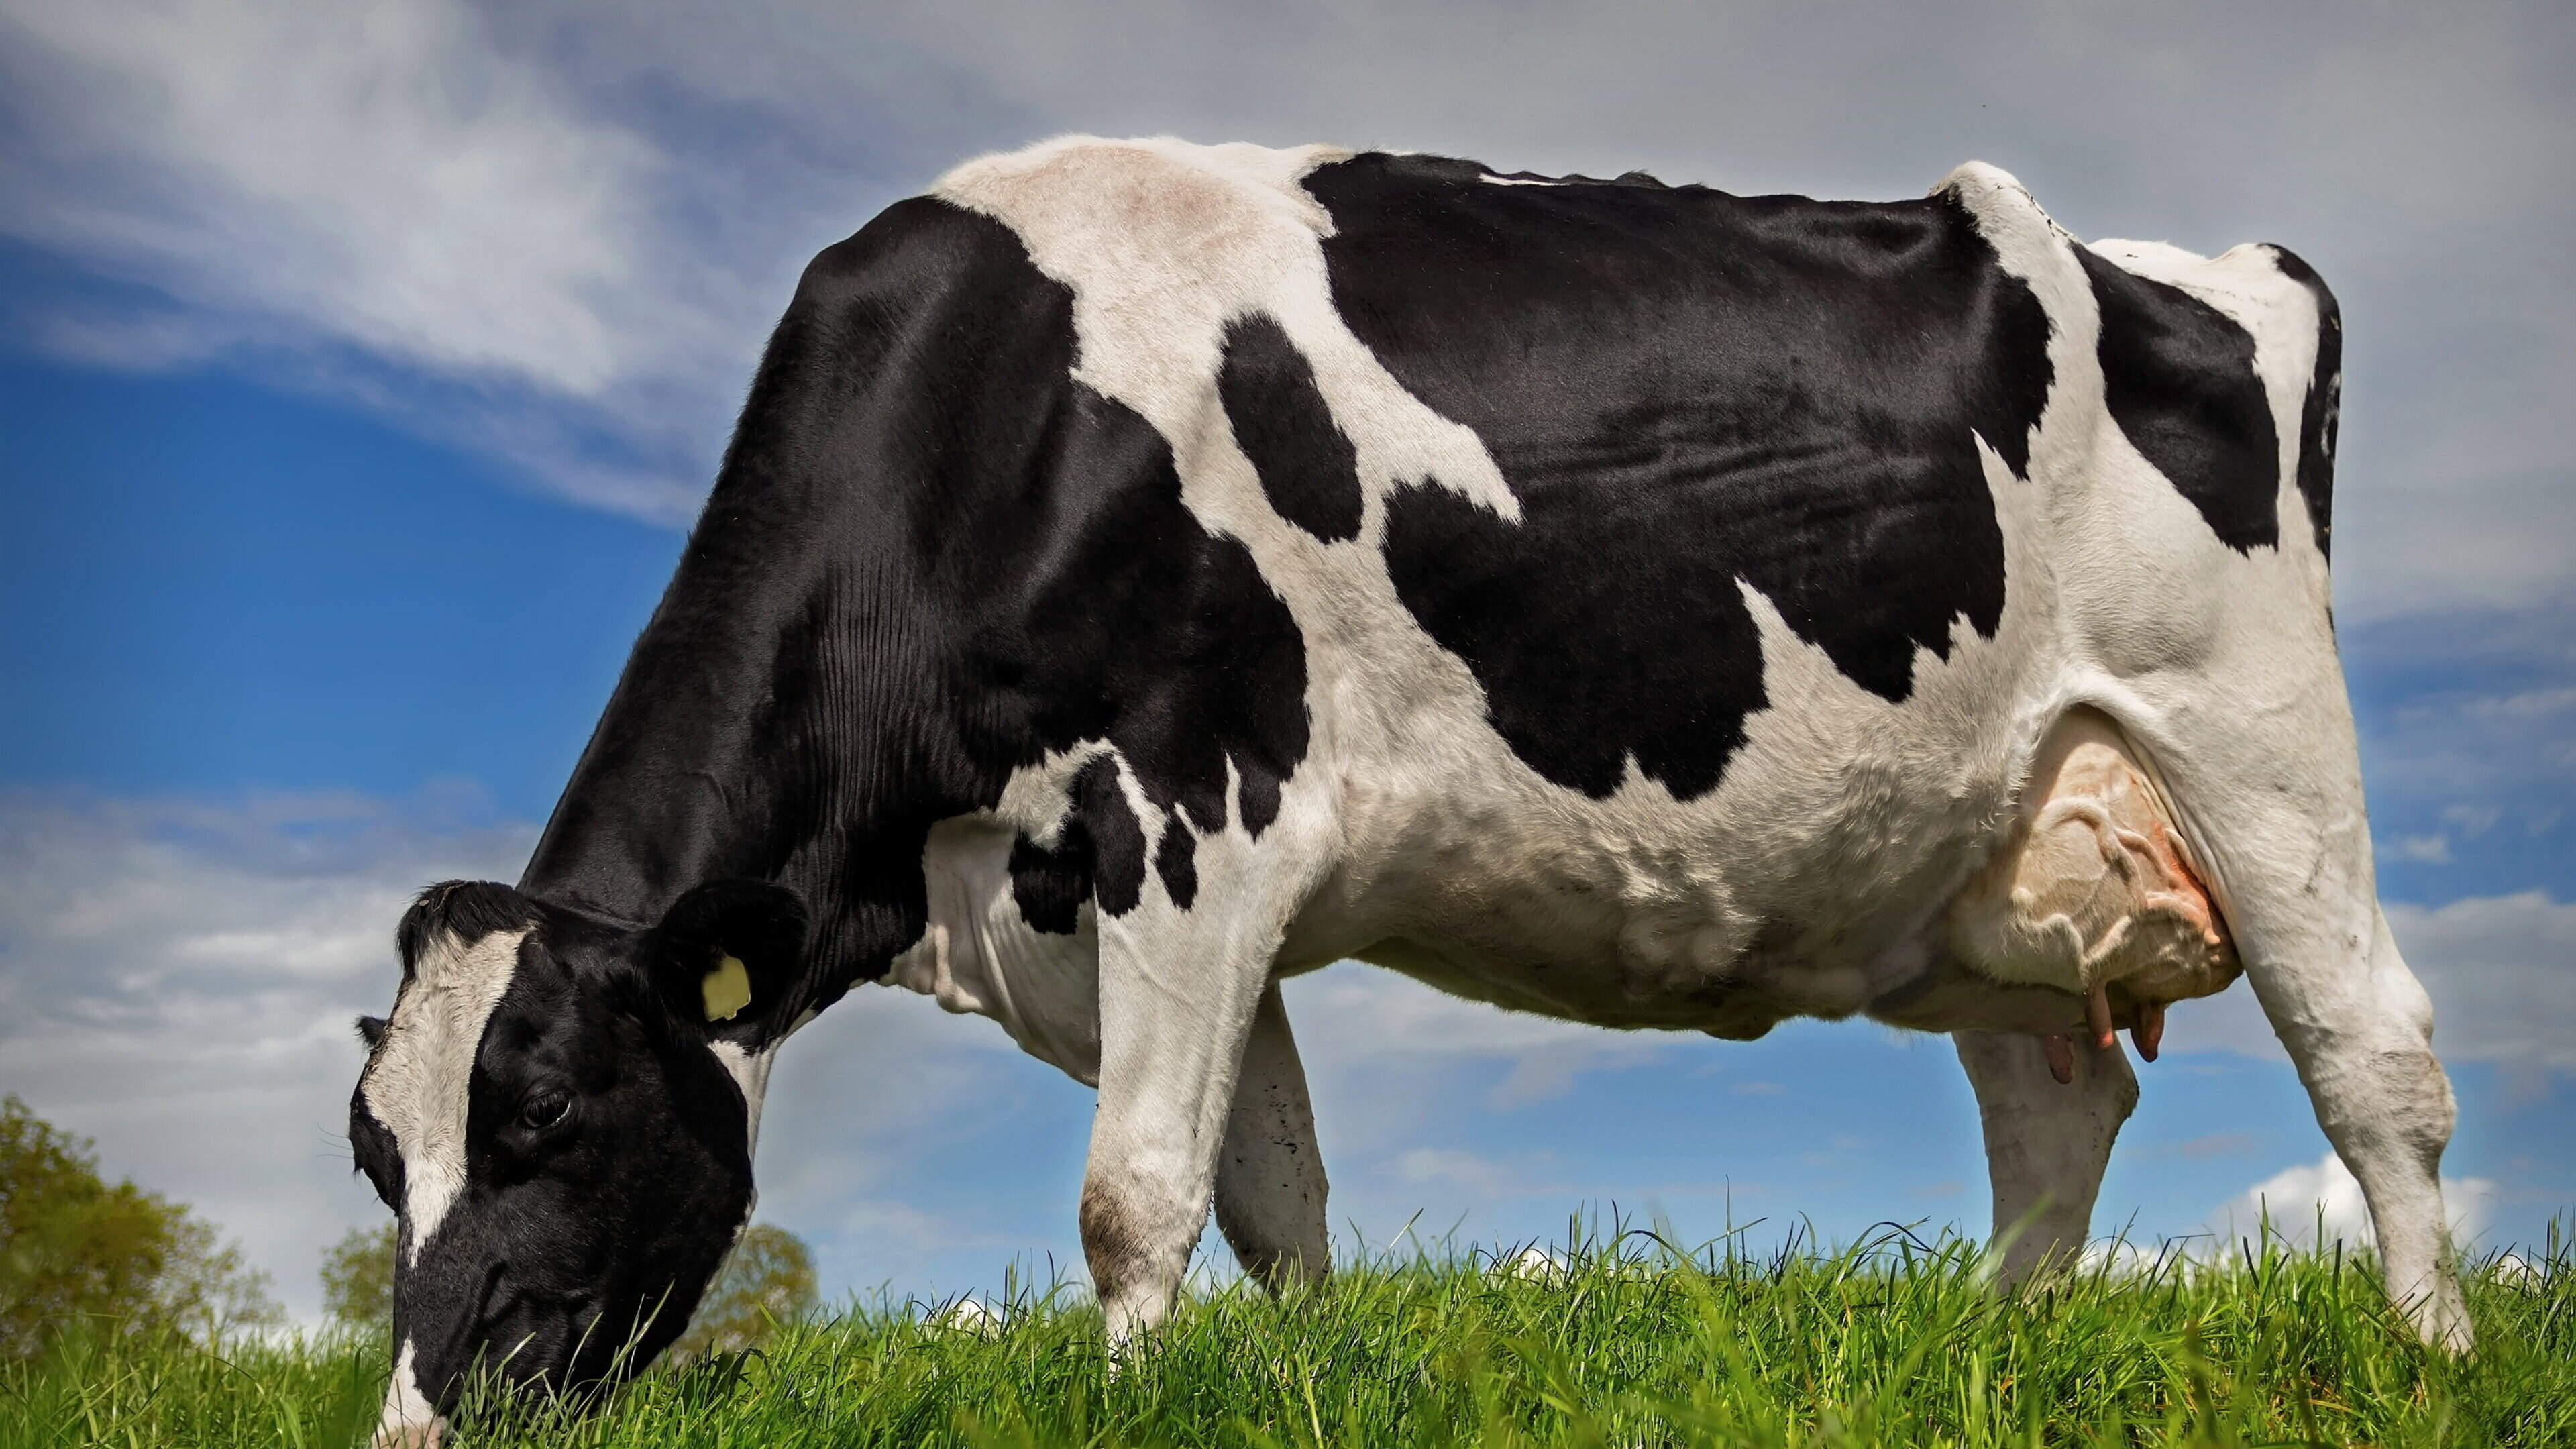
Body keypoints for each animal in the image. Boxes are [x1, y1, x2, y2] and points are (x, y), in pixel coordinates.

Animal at [351, 135, 2469, 1443]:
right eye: (378, 1157)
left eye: (545, 1113)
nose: (415, 1424)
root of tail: (2212, 264)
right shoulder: (1123, 897)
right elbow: (1269, 1195)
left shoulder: (1188, 806)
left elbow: (1134, 1196)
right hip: (1991, 853)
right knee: (2059, 1107)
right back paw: (1988, 1361)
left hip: (2251, 732)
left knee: (2373, 1055)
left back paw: (2433, 1355)